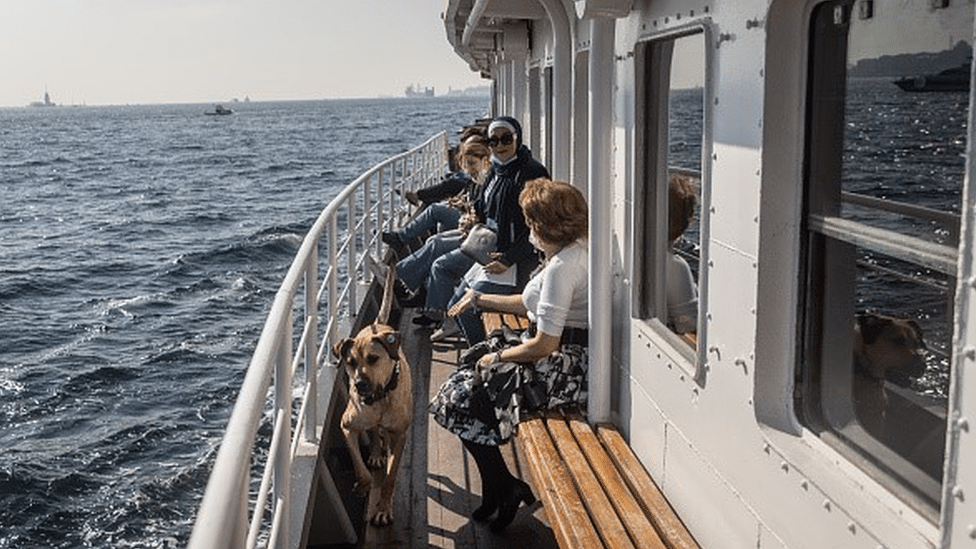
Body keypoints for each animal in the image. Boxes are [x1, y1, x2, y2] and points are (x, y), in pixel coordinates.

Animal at [334, 260, 414, 524]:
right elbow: (360, 467)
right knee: (373, 431)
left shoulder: (400, 435)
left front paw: (383, 509)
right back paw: (377, 453)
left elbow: (391, 477)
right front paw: (363, 485)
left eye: (373, 358)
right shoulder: (347, 426)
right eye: (350, 362)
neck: (380, 399)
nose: (359, 384)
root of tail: (377, 325)